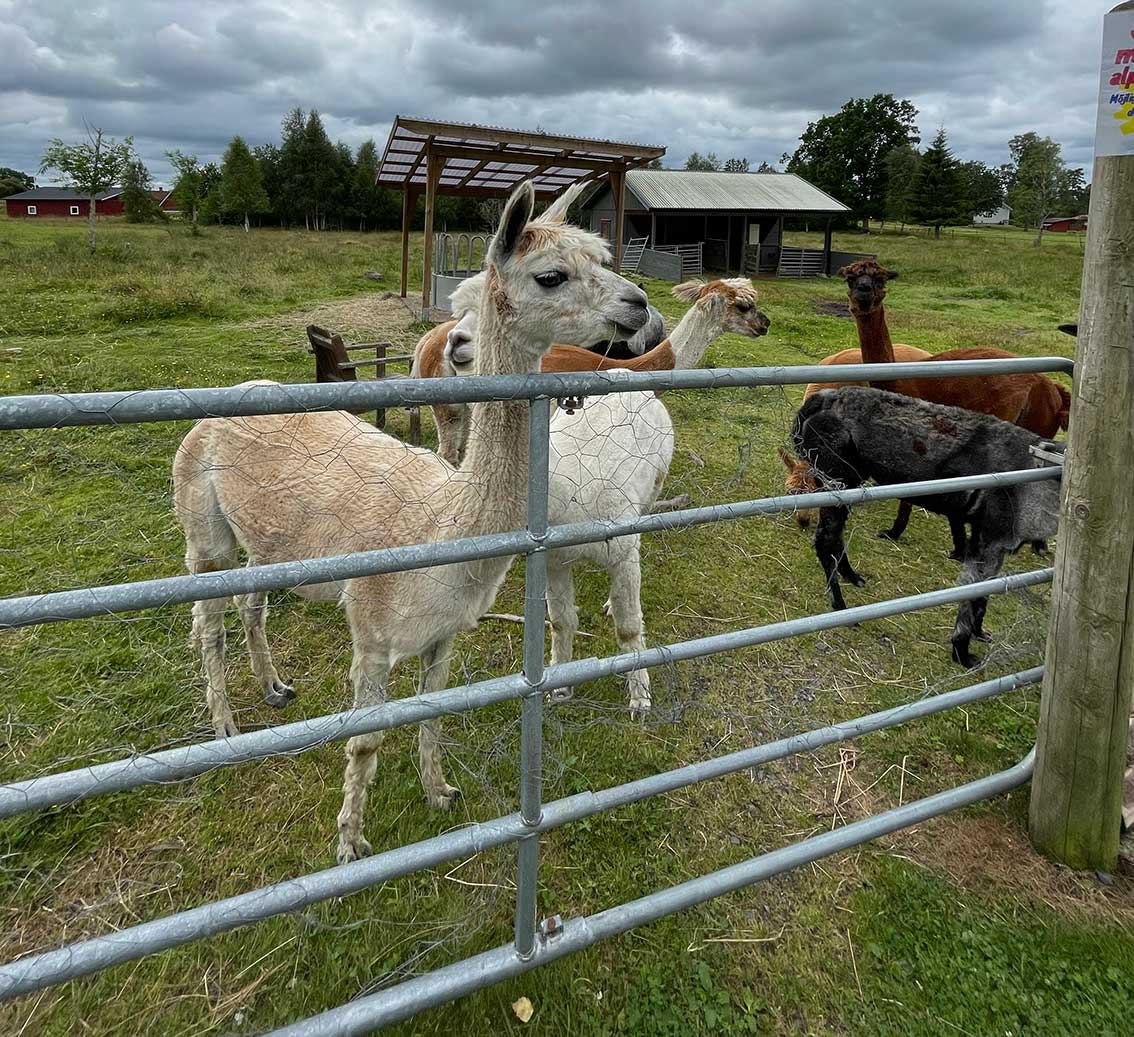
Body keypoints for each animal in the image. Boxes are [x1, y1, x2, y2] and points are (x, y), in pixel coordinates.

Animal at [172, 181, 650, 862]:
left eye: (604, 258)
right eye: (552, 275)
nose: (639, 304)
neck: (445, 527)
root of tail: (224, 402)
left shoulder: (443, 632)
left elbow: (432, 714)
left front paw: (440, 792)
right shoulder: (372, 632)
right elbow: (366, 740)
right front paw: (350, 843)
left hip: (269, 544)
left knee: (251, 606)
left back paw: (274, 688)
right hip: (204, 530)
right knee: (208, 624)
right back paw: (225, 725)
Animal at [786, 259, 1070, 545]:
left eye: (880, 279)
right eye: (850, 278)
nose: (863, 294)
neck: (903, 383)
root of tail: (1055, 390)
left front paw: (894, 530)